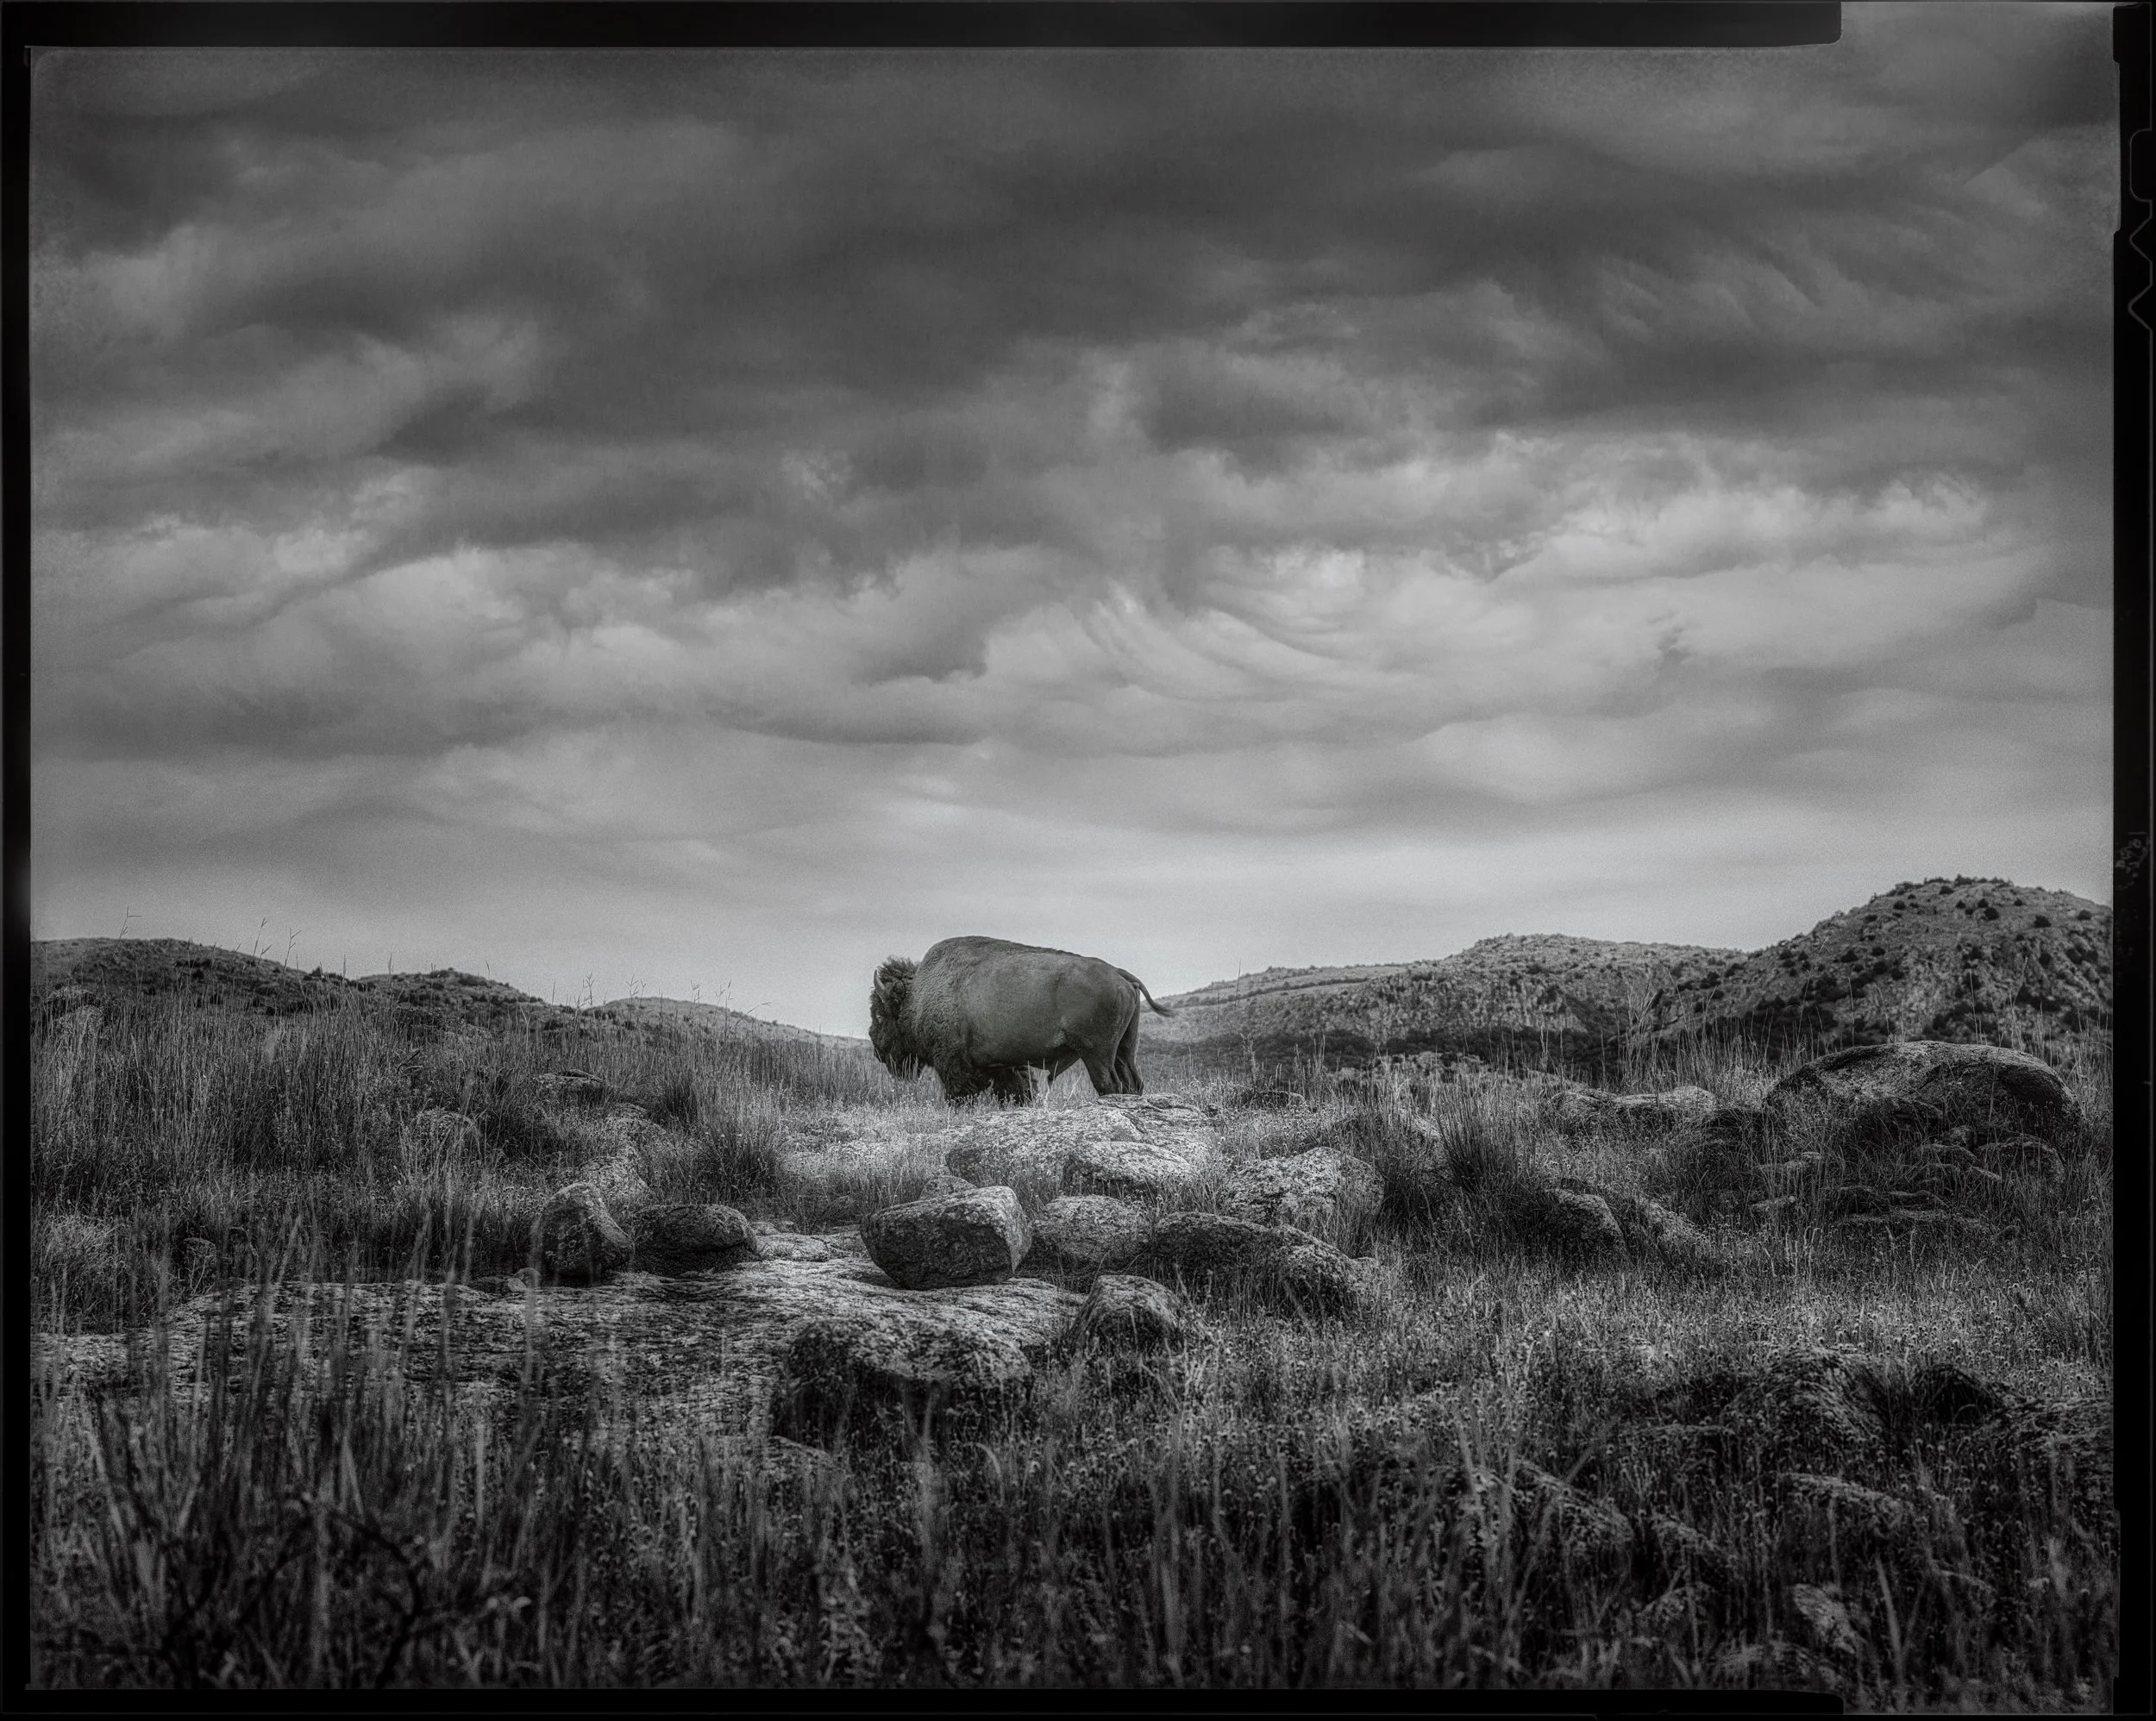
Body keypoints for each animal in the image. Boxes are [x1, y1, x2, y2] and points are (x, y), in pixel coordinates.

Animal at [869, 936, 1174, 1104]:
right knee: (1132, 1083)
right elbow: (1018, 1090)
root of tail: (1120, 974)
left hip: (1097, 1053)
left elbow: (960, 1094)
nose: (877, 1049)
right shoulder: (1004, 1065)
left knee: (1109, 1085)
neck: (916, 996)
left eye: (880, 1014)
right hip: (1124, 1050)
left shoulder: (954, 1063)